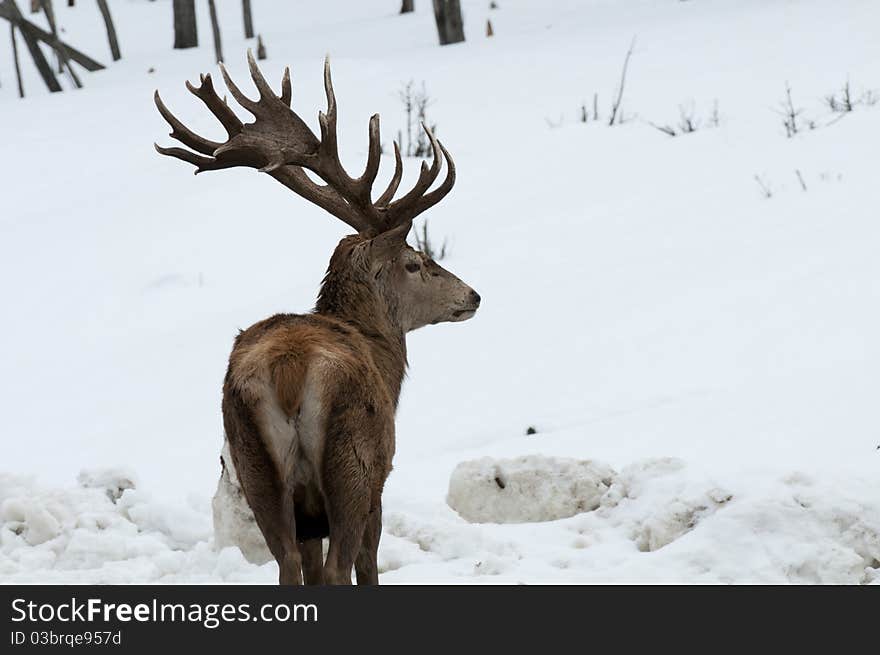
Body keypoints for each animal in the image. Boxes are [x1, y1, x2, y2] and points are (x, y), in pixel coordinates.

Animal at [153, 52, 482, 584]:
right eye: (414, 262)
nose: (472, 295)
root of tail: (289, 371)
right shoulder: (379, 484)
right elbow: (366, 567)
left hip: (256, 468)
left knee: (288, 564)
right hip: (351, 462)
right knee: (336, 567)